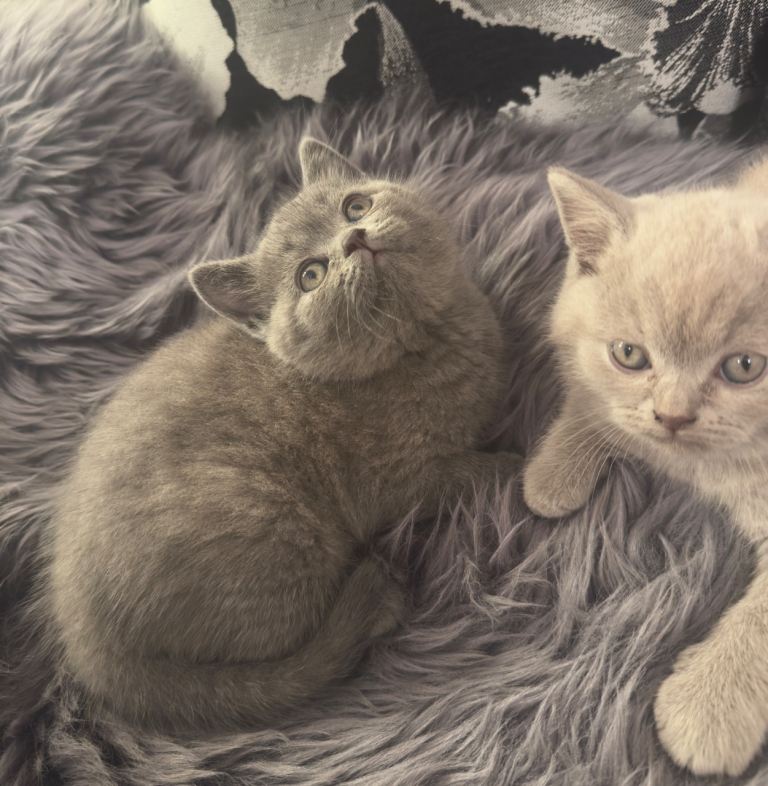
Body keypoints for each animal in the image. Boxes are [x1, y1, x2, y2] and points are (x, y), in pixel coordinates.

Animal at [46, 138, 519, 733]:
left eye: (355, 206)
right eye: (310, 276)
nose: (354, 239)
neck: (424, 344)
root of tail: (93, 656)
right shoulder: (398, 483)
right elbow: (477, 473)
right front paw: (520, 463)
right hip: (276, 520)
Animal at [523, 158, 768, 776]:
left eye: (744, 366)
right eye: (629, 355)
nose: (673, 415)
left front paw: (709, 710)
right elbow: (596, 398)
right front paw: (555, 471)